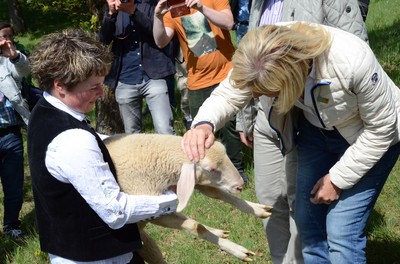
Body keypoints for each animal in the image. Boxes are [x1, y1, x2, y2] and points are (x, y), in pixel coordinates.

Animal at [103, 133, 272, 262]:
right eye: (211, 169)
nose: (240, 185)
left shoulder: (193, 182)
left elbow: (218, 194)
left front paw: (258, 209)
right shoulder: (152, 212)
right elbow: (196, 227)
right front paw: (238, 251)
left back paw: (218, 231)